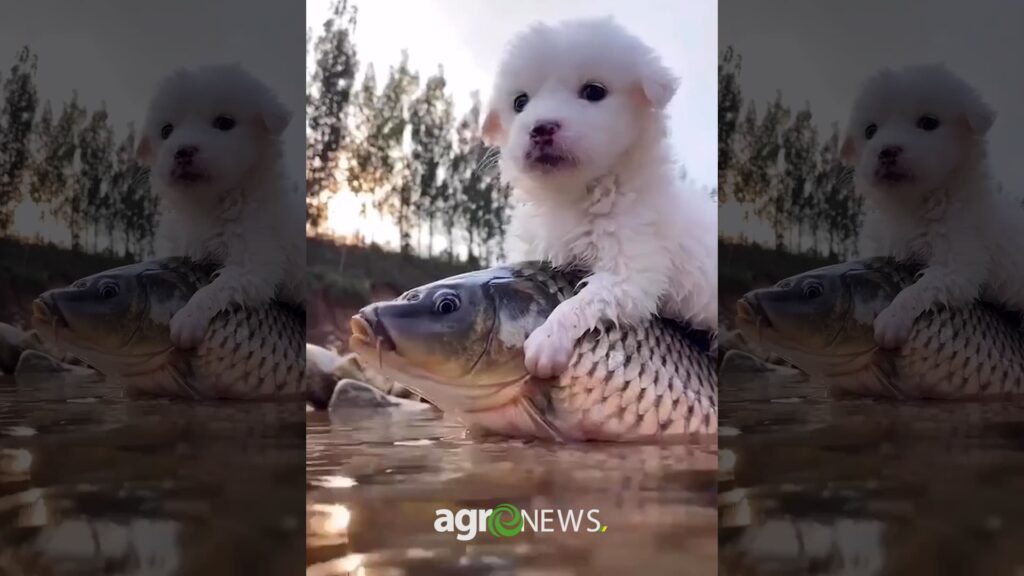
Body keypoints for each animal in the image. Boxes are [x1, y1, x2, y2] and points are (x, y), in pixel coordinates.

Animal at [139, 65, 303, 348]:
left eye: (224, 122)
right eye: (166, 131)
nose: (183, 151)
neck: (208, 206)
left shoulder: (253, 263)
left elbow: (215, 287)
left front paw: (188, 319)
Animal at [483, 17, 716, 377]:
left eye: (594, 92)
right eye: (520, 102)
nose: (541, 128)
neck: (574, 194)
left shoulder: (632, 271)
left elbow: (584, 299)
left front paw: (547, 340)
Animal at [839, 65, 1024, 348]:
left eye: (928, 123)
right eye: (870, 131)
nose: (887, 151)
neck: (913, 205)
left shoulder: (957, 264)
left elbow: (921, 287)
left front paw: (892, 319)